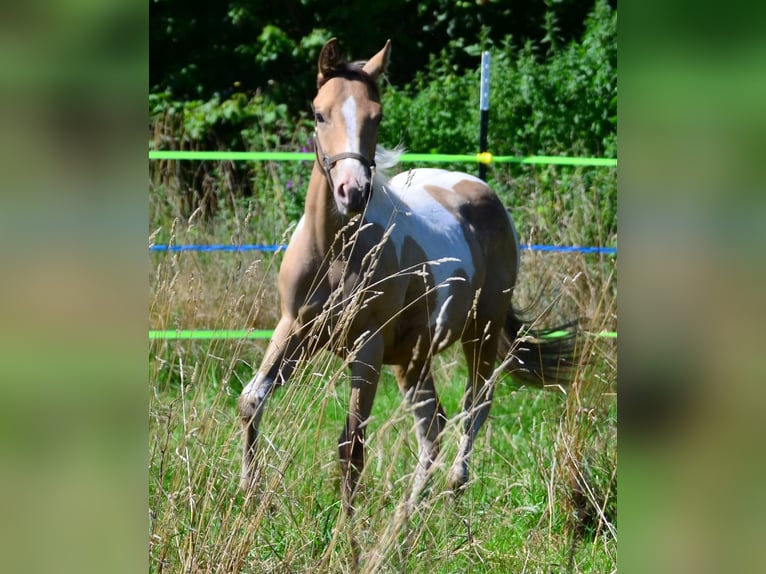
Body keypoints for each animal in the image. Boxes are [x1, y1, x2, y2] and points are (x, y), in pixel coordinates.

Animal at [238, 38, 578, 514]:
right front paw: (249, 492)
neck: (335, 251)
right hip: (412, 358)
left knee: (476, 403)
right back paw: (411, 508)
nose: (352, 192)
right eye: (319, 113)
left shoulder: (365, 346)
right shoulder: (295, 329)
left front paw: (346, 525)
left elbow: (352, 444)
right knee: (432, 425)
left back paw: (453, 489)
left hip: (482, 330)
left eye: (376, 116)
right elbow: (252, 400)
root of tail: (481, 190)